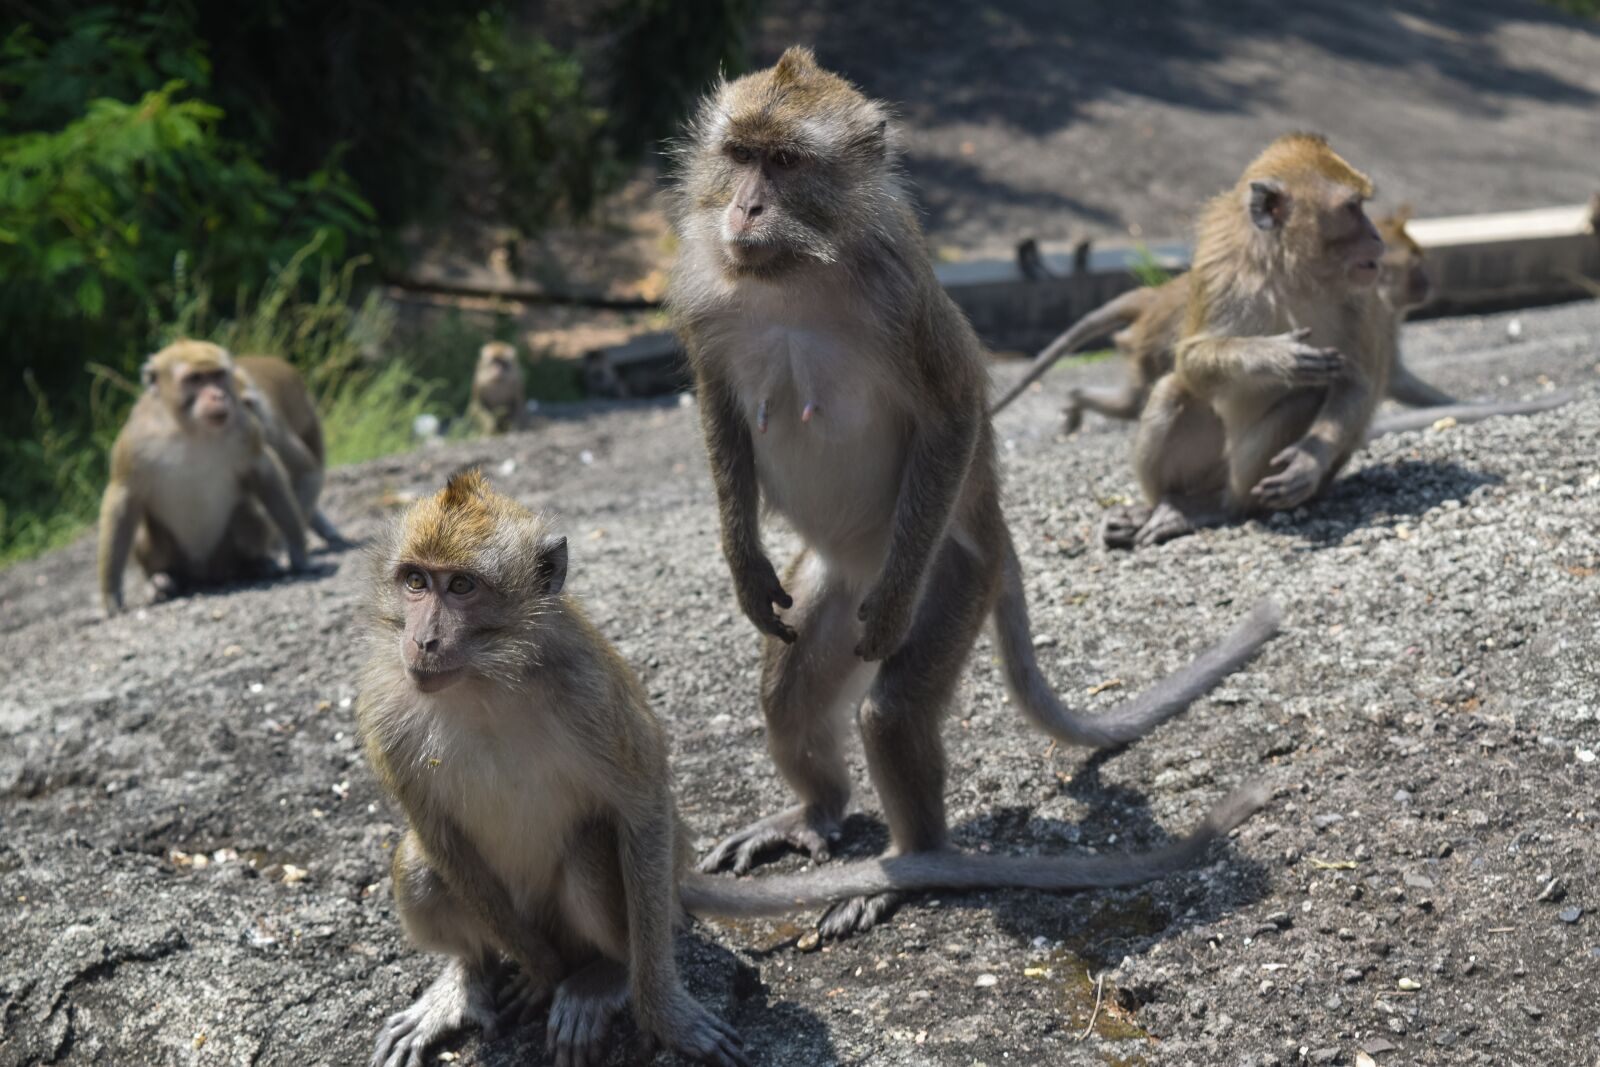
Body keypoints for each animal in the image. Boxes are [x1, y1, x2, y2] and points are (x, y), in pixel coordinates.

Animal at [98, 340, 309, 615]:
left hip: (224, 551)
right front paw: (111, 594)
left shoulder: (243, 427)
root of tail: (204, 572)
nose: (218, 396)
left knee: (249, 518)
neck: (190, 430)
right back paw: (163, 580)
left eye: (218, 376)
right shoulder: (135, 440)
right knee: (149, 538)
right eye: (195, 379)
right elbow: (123, 495)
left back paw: (253, 564)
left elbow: (264, 469)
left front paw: (298, 551)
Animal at [359, 469, 1272, 1067]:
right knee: (426, 862)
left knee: (596, 854)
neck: (489, 680)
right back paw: (475, 977)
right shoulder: (387, 705)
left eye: (463, 587)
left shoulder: (587, 693)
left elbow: (642, 807)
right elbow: (433, 826)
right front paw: (515, 975)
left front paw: (648, 1007)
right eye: (415, 581)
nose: (425, 640)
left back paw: (600, 976)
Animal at [665, 47, 1281, 938]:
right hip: (835, 584)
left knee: (891, 708)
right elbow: (719, 407)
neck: (795, 276)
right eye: (740, 155)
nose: (745, 209)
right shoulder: (702, 295)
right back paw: (815, 812)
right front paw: (744, 567)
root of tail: (996, 529)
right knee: (788, 691)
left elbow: (953, 414)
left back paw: (910, 863)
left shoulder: (903, 300)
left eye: (783, 163)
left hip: (955, 575)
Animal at [989, 210, 1454, 428]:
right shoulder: (1372, 313)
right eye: (1418, 264)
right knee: (1137, 400)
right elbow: (1384, 380)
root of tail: (1157, 295)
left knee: (1131, 399)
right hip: (1152, 346)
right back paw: (1078, 402)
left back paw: (1075, 400)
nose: (1430, 282)